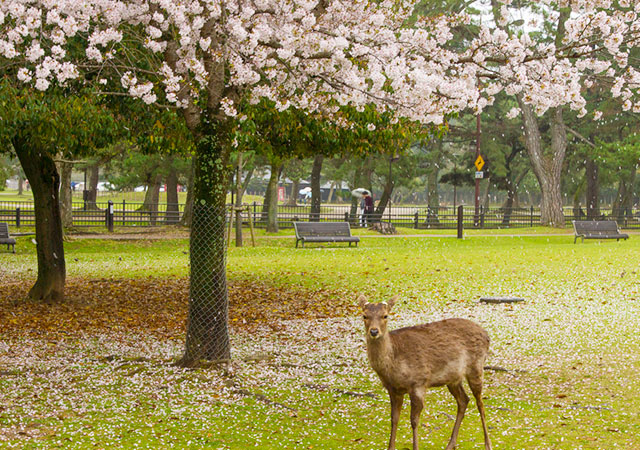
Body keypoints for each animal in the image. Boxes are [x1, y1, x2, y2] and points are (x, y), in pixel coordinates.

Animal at [358, 296, 492, 450]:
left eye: (385, 316)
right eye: (364, 316)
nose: (374, 331)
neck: (393, 368)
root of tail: (487, 335)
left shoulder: (419, 383)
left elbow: (414, 420)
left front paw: (415, 446)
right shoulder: (393, 389)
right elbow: (394, 418)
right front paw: (390, 447)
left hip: (476, 367)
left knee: (480, 403)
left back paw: (487, 444)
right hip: (453, 378)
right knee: (464, 400)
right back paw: (450, 444)